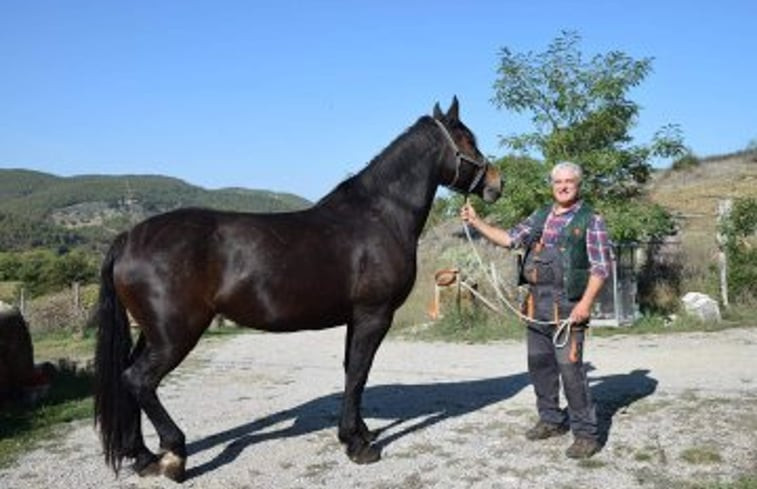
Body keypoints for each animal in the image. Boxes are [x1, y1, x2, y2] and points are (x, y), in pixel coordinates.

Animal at [94, 98, 502, 480]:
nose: (496, 185)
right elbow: (359, 373)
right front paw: (357, 446)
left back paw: (144, 457)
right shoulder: (374, 314)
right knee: (139, 380)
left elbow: (352, 371)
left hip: (153, 332)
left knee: (128, 380)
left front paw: (360, 433)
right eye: (468, 139)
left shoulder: (356, 318)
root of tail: (128, 238)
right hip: (175, 334)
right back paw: (174, 456)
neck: (380, 215)